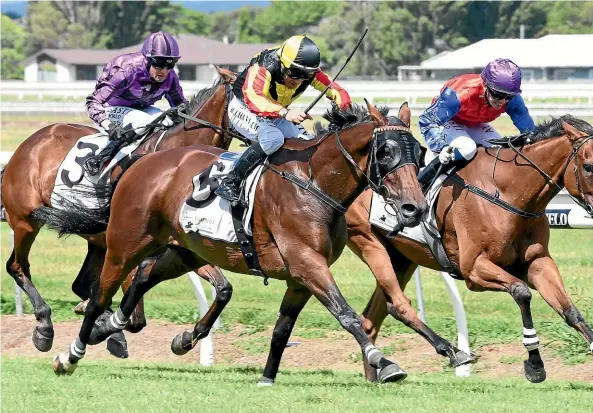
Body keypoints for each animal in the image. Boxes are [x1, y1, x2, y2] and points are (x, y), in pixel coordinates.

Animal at [2, 66, 238, 352]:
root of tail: (27, 145)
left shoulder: (180, 247)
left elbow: (223, 287)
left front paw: (183, 339)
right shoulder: (132, 250)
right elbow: (133, 316)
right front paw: (102, 326)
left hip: (95, 242)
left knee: (79, 282)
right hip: (25, 221)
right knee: (17, 266)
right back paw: (44, 326)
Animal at [48, 100, 426, 384]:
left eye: (419, 151)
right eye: (386, 152)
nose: (415, 207)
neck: (312, 182)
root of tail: (141, 160)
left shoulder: (300, 276)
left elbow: (282, 329)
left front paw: (267, 378)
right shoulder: (307, 263)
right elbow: (347, 315)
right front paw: (384, 362)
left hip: (183, 251)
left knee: (141, 279)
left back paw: (125, 329)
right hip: (124, 244)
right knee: (99, 296)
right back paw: (71, 355)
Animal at [346, 113, 592, 384]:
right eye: (588, 167)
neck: (506, 192)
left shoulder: (537, 263)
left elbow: (570, 311)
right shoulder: (473, 269)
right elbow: (521, 292)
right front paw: (534, 364)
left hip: (401, 260)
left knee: (372, 318)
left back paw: (380, 375)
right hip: (370, 243)